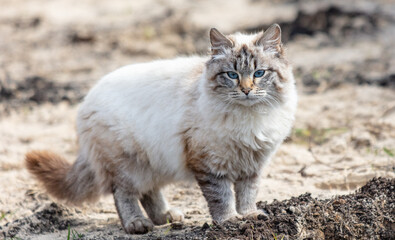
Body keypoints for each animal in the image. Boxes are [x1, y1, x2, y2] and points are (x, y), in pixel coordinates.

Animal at [24, 24, 296, 234]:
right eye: (231, 75)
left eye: (259, 73)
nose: (247, 90)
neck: (249, 117)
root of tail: (86, 100)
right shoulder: (210, 165)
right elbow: (222, 198)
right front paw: (229, 221)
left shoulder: (251, 164)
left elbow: (247, 194)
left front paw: (249, 216)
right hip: (128, 165)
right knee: (124, 194)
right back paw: (137, 224)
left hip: (152, 163)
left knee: (149, 193)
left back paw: (165, 217)